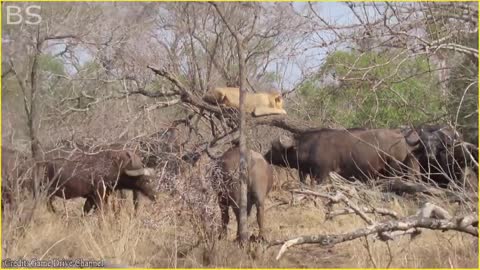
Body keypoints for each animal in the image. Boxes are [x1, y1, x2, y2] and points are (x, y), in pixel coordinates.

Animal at [264, 129, 418, 186]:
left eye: (274, 148)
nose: (265, 156)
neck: (310, 147)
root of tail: (402, 138)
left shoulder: (322, 174)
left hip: (394, 169)